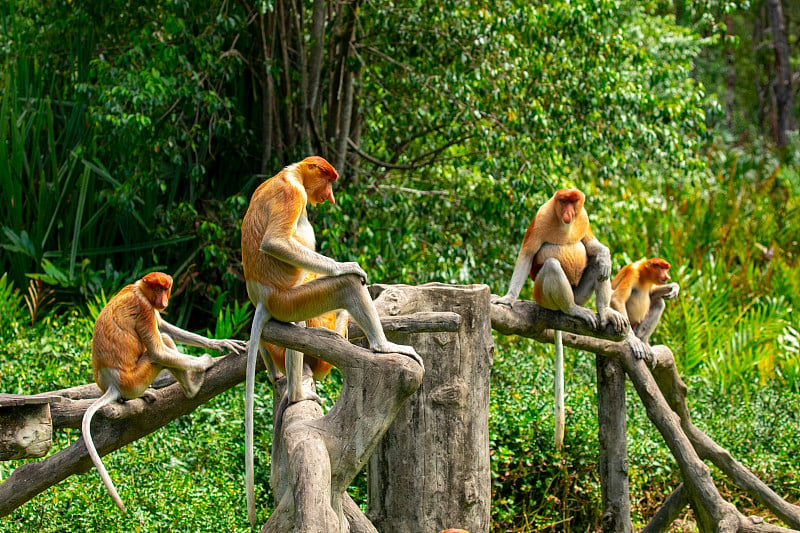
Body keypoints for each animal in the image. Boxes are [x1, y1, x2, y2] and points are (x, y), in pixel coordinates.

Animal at [81, 274, 245, 512]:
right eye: (158, 288)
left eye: (166, 288)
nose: (164, 301)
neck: (139, 289)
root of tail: (112, 384)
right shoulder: (144, 309)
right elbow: (158, 349)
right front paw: (205, 361)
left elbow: (166, 325)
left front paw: (219, 342)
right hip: (135, 380)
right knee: (161, 347)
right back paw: (192, 387)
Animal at [241, 154, 422, 524]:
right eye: (328, 179)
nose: (331, 195)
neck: (290, 175)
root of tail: (262, 297)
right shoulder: (292, 195)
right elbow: (276, 243)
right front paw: (350, 265)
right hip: (292, 298)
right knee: (343, 289)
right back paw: (380, 347)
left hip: (287, 304)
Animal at [490, 189, 628, 446]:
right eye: (563, 201)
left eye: (574, 202)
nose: (568, 212)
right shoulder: (541, 217)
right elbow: (527, 255)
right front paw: (507, 299)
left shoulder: (583, 217)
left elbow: (591, 246)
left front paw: (605, 254)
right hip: (542, 294)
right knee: (553, 265)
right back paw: (573, 310)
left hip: (580, 292)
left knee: (597, 265)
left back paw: (605, 311)